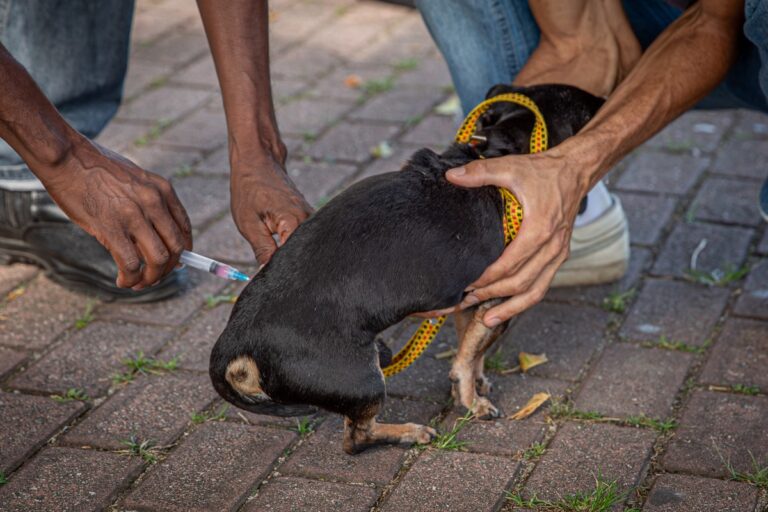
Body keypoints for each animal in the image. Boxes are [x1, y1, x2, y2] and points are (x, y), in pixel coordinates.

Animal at [212, 84, 608, 452]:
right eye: (587, 115)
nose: (607, 100)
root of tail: (237, 342)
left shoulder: (469, 298)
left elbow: (472, 346)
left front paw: (477, 381)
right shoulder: (497, 300)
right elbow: (466, 359)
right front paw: (472, 401)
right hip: (364, 378)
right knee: (356, 438)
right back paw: (409, 433)